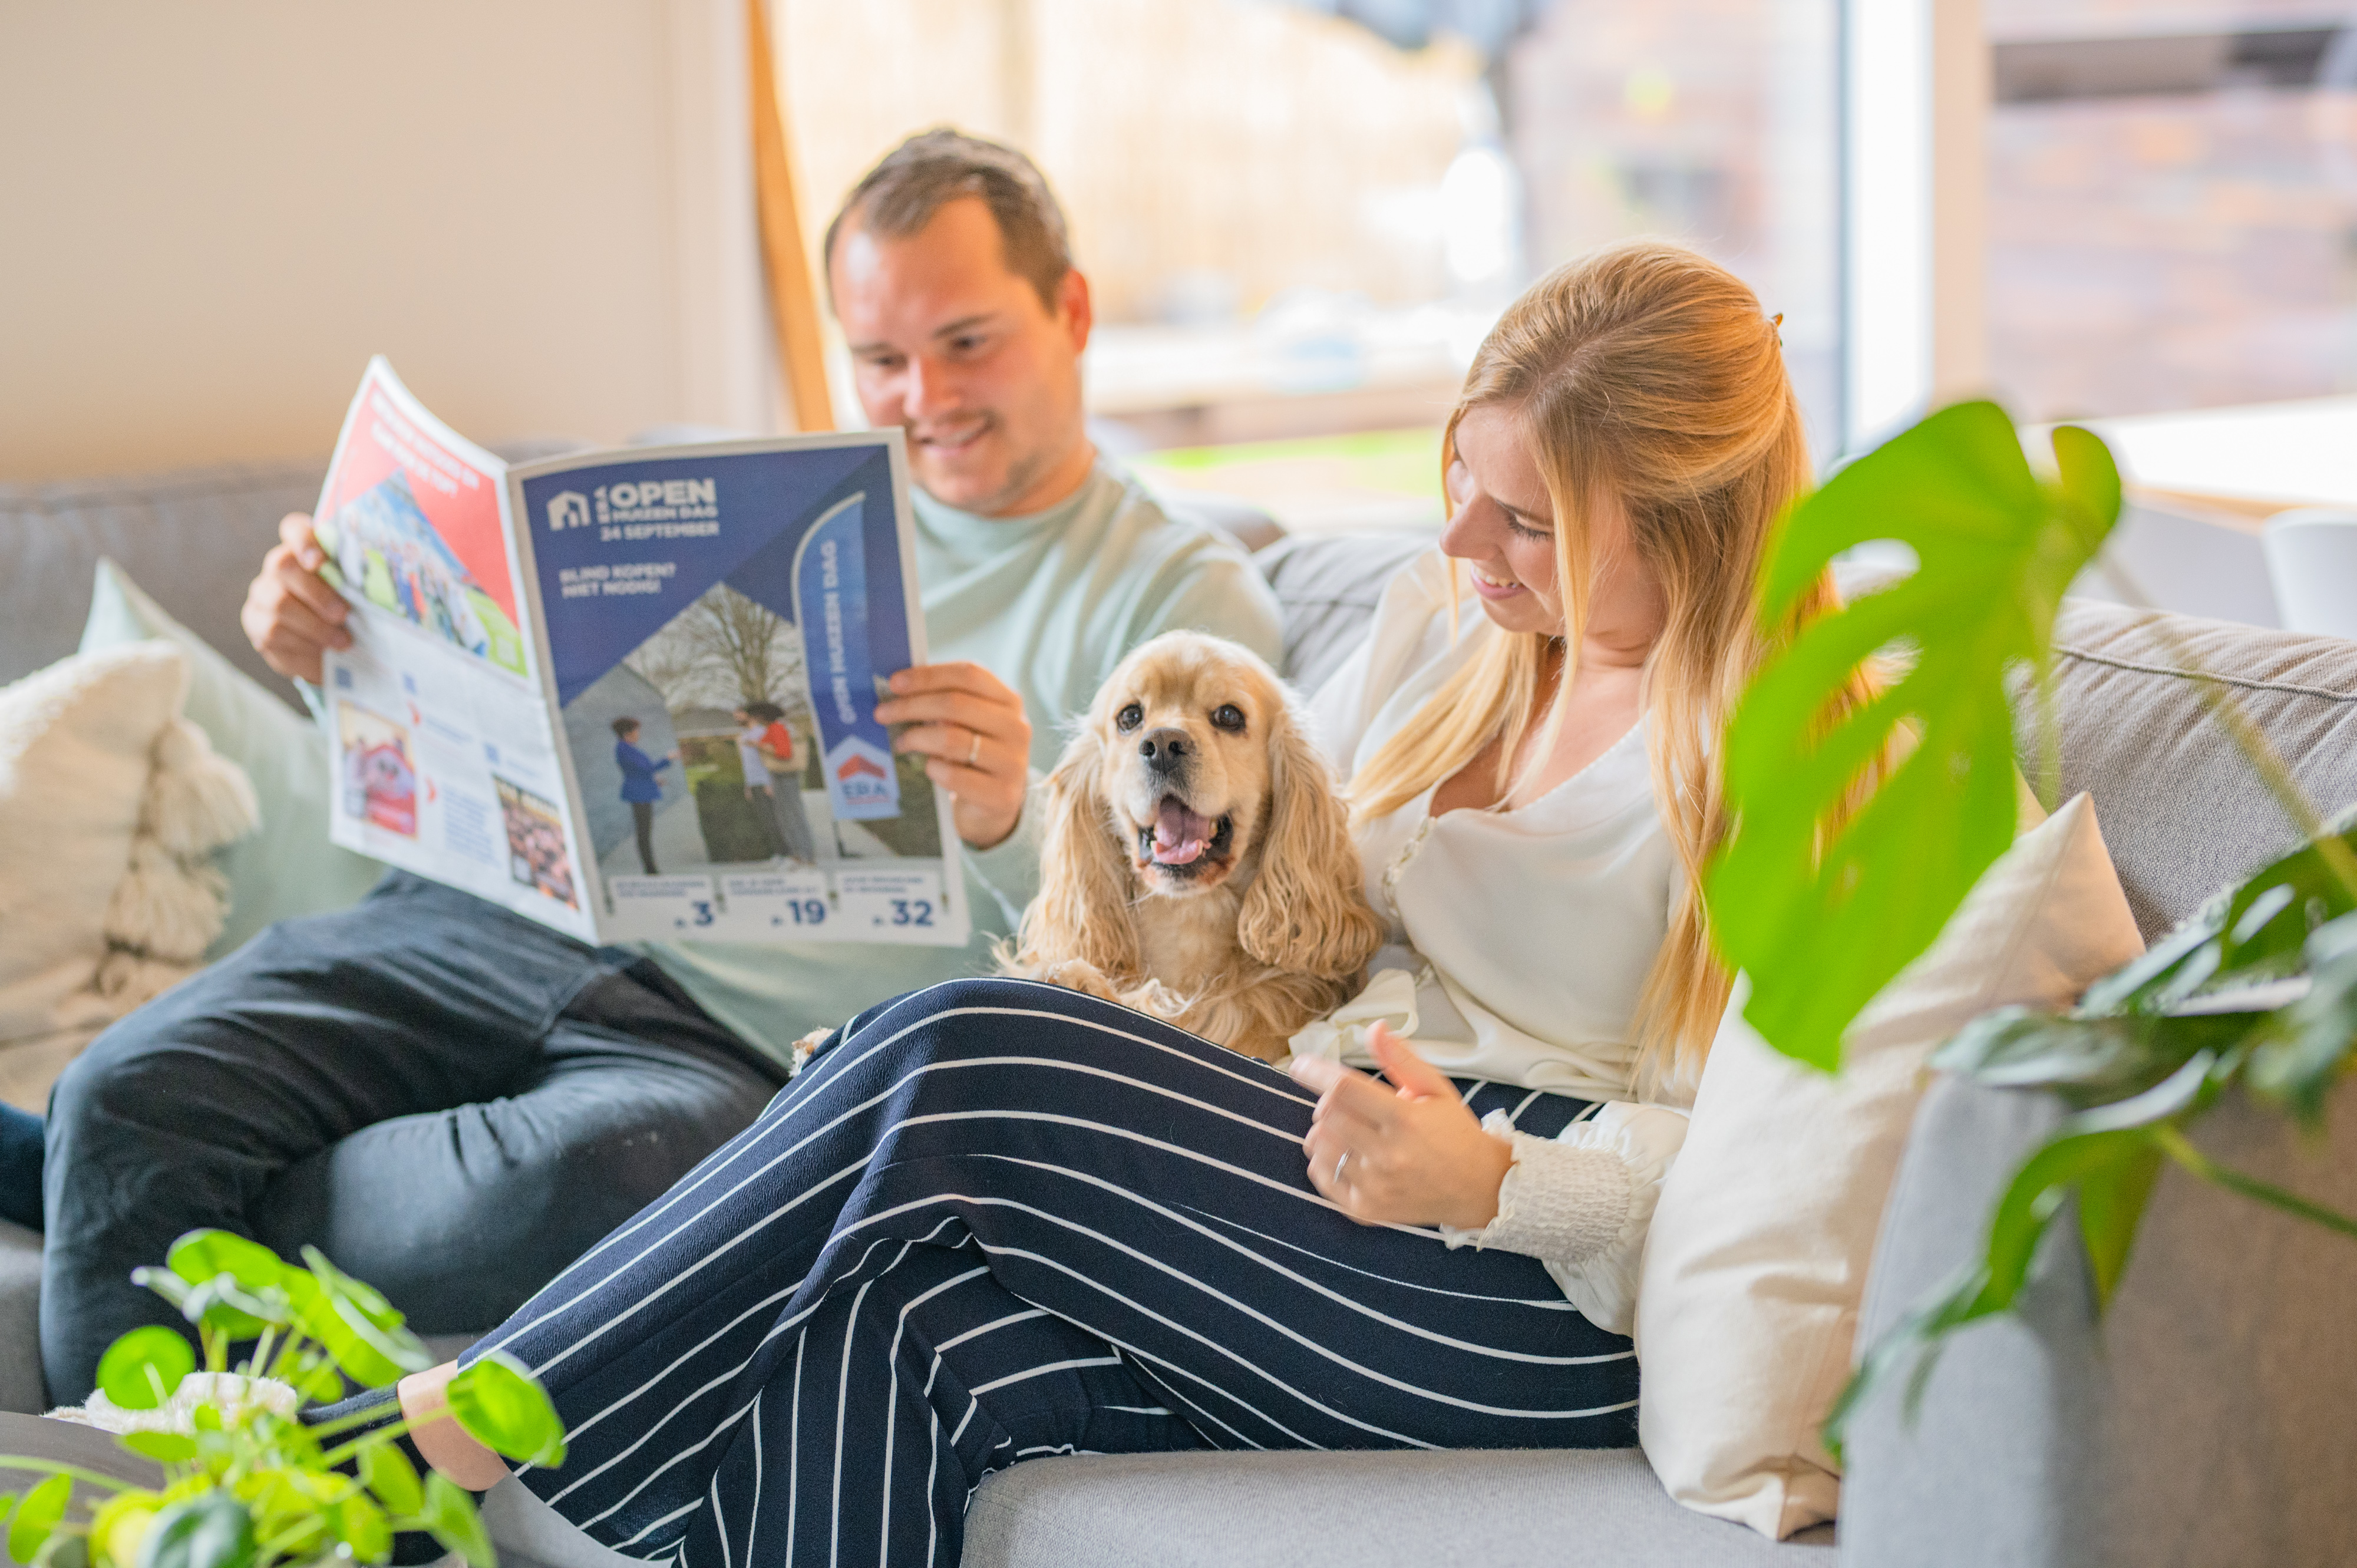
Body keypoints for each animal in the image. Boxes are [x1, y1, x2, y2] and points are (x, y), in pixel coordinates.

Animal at [990, 632, 1376, 1056]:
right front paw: (1076, 976)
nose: (1163, 744)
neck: (1189, 918)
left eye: (1229, 716)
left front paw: (1082, 982)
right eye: (1130, 717)